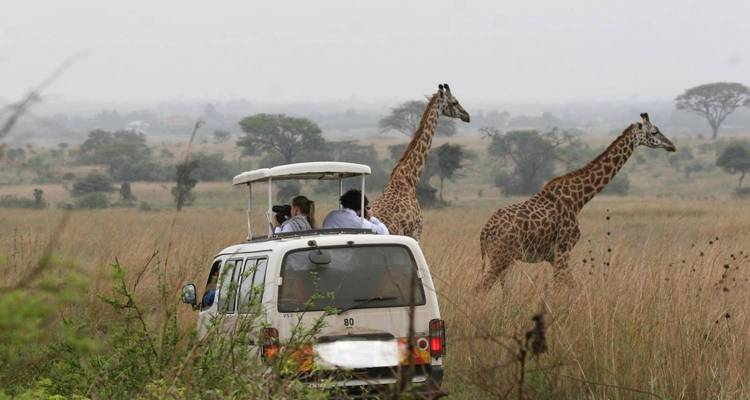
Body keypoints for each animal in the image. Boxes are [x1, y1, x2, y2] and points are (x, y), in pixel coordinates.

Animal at [478, 113, 676, 290]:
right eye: (654, 131)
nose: (671, 145)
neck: (578, 199)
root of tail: (484, 233)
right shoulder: (563, 249)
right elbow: (563, 287)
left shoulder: (554, 256)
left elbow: (572, 286)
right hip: (500, 257)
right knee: (481, 288)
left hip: (505, 259)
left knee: (504, 289)